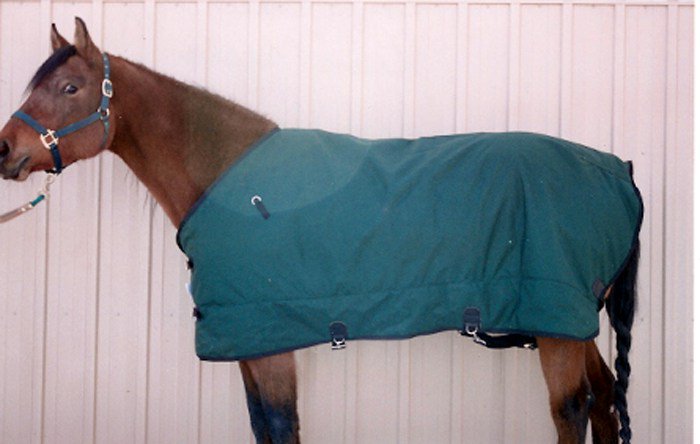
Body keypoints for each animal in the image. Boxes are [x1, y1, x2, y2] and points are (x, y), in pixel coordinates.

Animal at [0, 18, 641, 444]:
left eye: (70, 88)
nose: (5, 149)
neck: (232, 184)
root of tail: (620, 170)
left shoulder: (270, 343)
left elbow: (282, 427)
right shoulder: (249, 344)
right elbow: (264, 427)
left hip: (558, 329)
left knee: (573, 409)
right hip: (572, 325)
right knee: (604, 402)